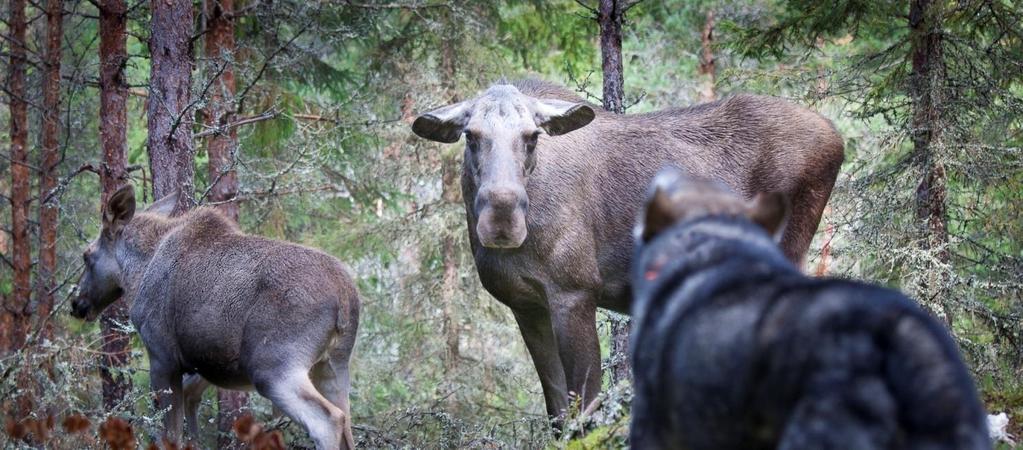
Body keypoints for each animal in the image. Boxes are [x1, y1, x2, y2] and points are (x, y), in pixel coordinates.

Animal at [71, 184, 360, 447]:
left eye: (86, 255)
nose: (76, 304)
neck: (137, 272)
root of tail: (346, 298)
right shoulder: (203, 364)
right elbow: (190, 409)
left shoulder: (163, 356)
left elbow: (170, 435)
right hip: (333, 366)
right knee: (346, 422)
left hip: (272, 366)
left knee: (327, 421)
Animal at [411, 79, 842, 421]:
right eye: (471, 135)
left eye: (532, 136)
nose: (502, 217)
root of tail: (837, 139)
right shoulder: (525, 304)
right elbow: (557, 413)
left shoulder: (575, 291)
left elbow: (585, 409)